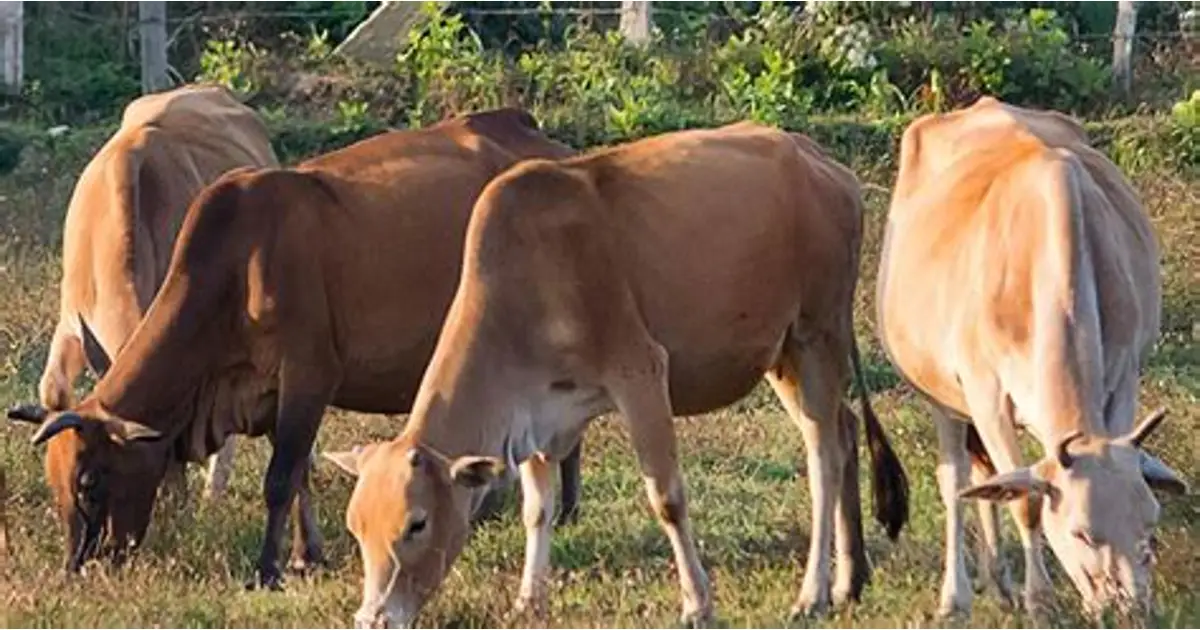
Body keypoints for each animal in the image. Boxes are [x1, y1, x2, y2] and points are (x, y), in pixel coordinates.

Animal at [324, 122, 910, 628]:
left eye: (416, 523)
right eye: (356, 527)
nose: (373, 617)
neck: (529, 286)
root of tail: (824, 165)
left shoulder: (641, 371)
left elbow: (666, 497)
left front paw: (697, 603)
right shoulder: (537, 415)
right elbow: (537, 509)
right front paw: (528, 600)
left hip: (815, 334)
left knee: (824, 453)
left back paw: (813, 593)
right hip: (782, 353)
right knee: (844, 429)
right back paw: (850, 580)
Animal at [874, 96, 1188, 620]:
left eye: (1151, 524)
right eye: (1083, 533)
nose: (1130, 611)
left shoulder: (1124, 378)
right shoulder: (987, 397)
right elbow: (1026, 503)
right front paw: (1039, 600)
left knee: (986, 478)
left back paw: (998, 581)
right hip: (941, 396)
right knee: (956, 480)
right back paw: (958, 594)